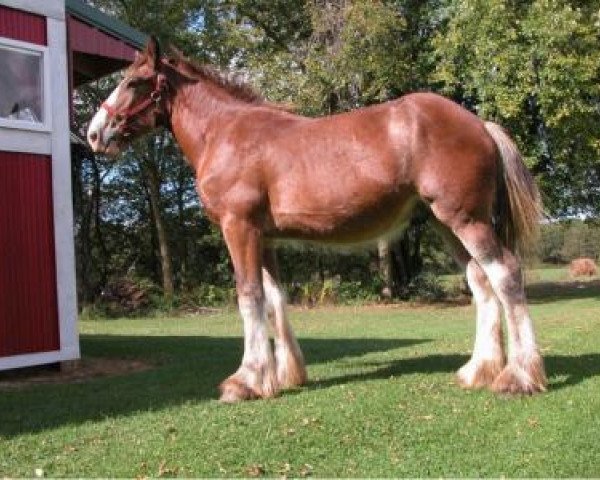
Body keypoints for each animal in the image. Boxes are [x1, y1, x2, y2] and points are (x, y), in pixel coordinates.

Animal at [86, 38, 548, 402]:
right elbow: (274, 297)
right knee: (481, 282)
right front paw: (285, 375)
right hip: (446, 224)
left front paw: (246, 380)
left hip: (467, 220)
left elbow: (249, 296)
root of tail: (479, 123)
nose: (94, 133)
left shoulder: (239, 228)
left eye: (134, 82)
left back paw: (519, 376)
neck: (227, 132)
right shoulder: (265, 237)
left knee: (505, 274)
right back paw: (479, 371)